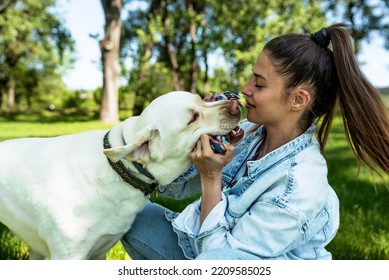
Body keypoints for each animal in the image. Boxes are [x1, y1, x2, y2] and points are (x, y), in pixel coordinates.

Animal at [0, 91, 241, 260]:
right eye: (192, 118)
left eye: (202, 99)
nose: (236, 104)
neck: (120, 169)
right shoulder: (68, 255)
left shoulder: (98, 253)